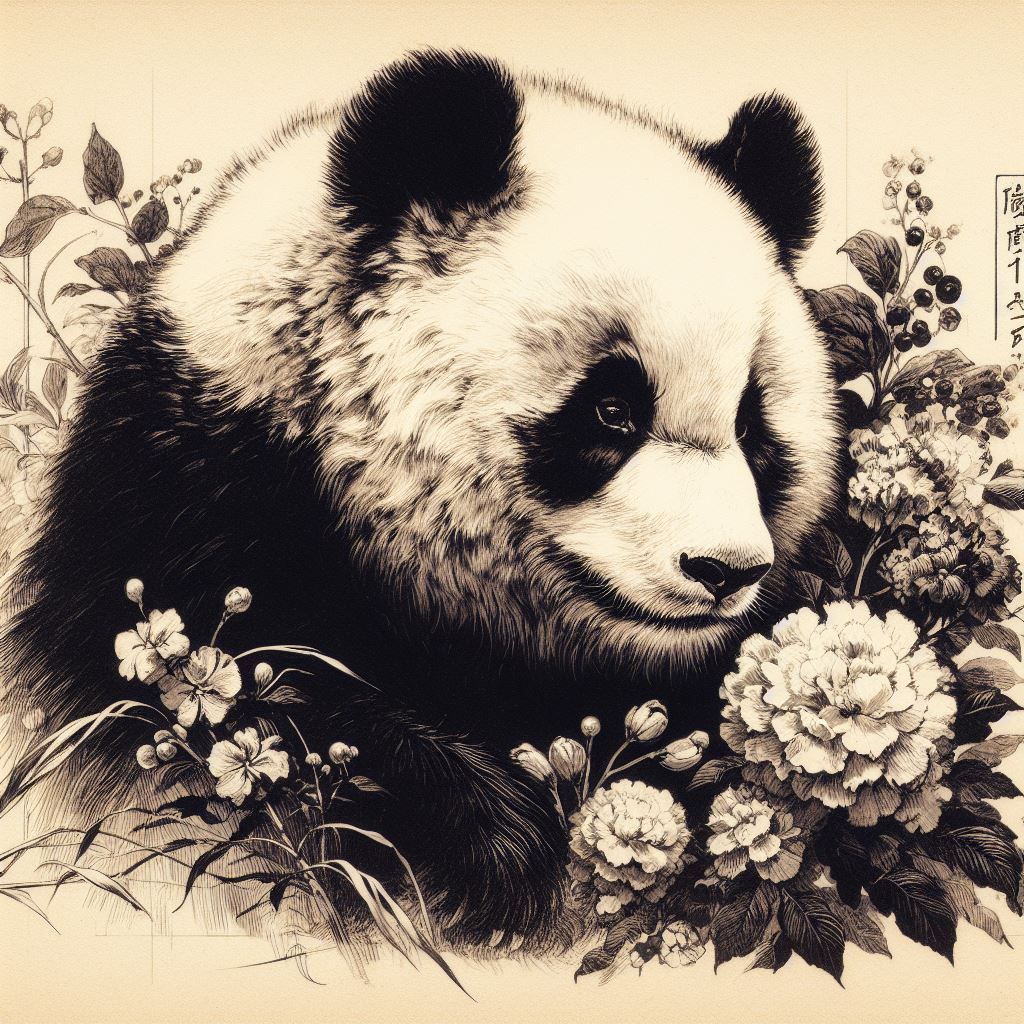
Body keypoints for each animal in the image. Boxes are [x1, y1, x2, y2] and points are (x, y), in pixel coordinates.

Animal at [1, 50, 842, 948]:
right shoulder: (183, 501)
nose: (724, 569)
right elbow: (234, 705)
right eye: (611, 409)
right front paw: (494, 852)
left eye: (751, 425)